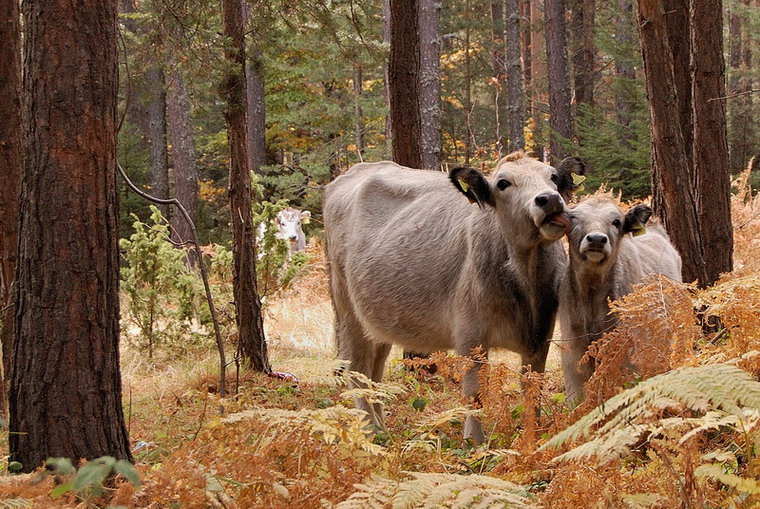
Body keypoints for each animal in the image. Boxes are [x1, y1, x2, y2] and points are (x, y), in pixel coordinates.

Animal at [323, 152, 585, 442]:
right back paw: (370, 429)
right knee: (357, 370)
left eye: (553, 177)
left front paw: (532, 435)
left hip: (378, 320)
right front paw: (474, 441)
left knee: (374, 371)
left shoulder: (540, 336)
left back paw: (381, 428)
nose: (549, 199)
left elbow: (532, 390)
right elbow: (474, 392)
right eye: (503, 183)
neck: (525, 278)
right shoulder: (470, 335)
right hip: (347, 309)